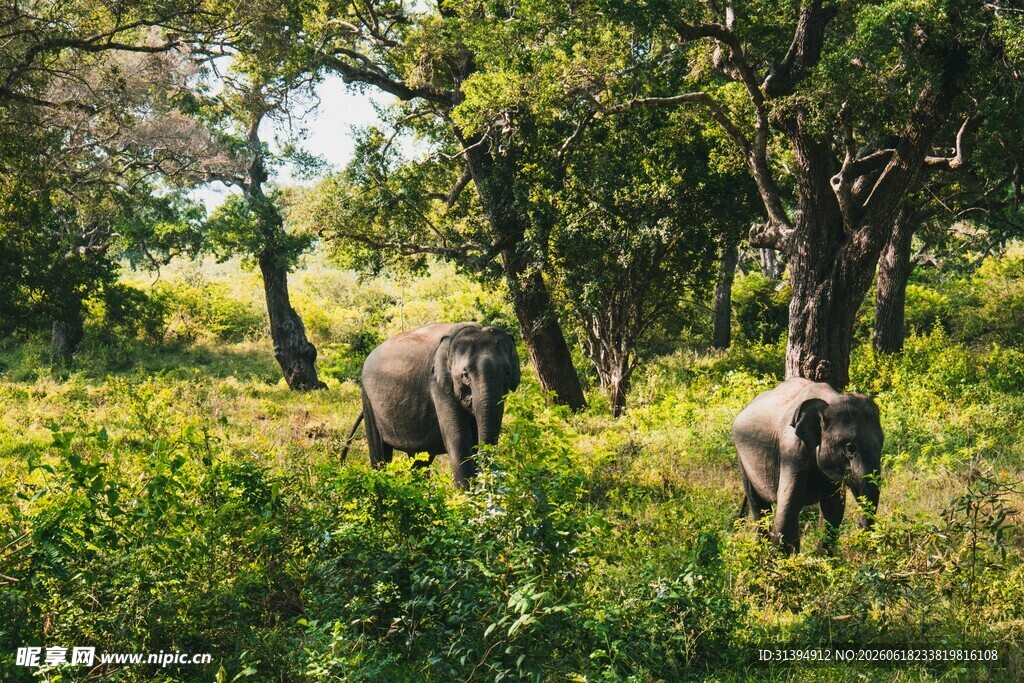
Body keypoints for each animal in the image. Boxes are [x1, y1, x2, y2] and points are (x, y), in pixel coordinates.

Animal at [340, 322, 521, 488]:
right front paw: (468, 498)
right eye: (465, 374)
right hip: (367, 398)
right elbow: (459, 440)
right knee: (379, 452)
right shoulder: (438, 385)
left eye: (507, 372)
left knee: (419, 460)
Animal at [731, 377, 883, 554]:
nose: (859, 530)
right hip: (742, 458)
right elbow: (788, 504)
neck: (830, 399)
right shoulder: (792, 452)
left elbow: (833, 508)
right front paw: (779, 561)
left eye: (882, 444)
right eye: (850, 448)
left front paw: (823, 559)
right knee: (758, 505)